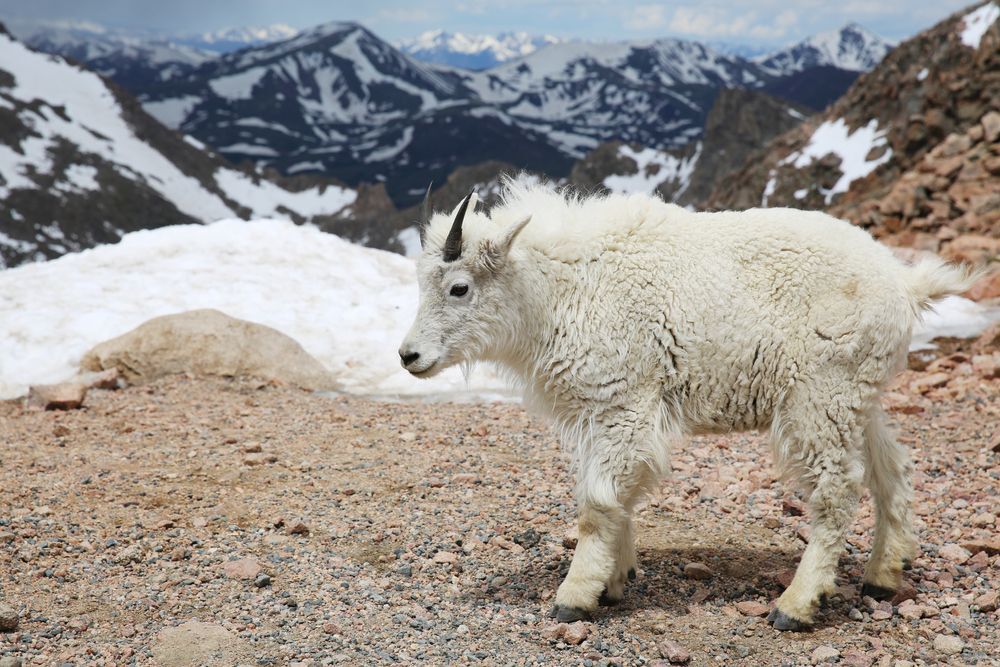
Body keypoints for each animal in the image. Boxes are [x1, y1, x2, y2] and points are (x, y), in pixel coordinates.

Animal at [398, 179, 972, 630]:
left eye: (459, 287)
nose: (409, 356)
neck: (559, 291)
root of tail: (903, 284)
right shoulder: (600, 413)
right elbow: (617, 496)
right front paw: (616, 580)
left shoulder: (623, 401)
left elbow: (598, 503)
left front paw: (576, 596)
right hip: (858, 395)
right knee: (890, 469)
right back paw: (883, 574)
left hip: (820, 395)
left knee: (837, 491)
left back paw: (797, 604)